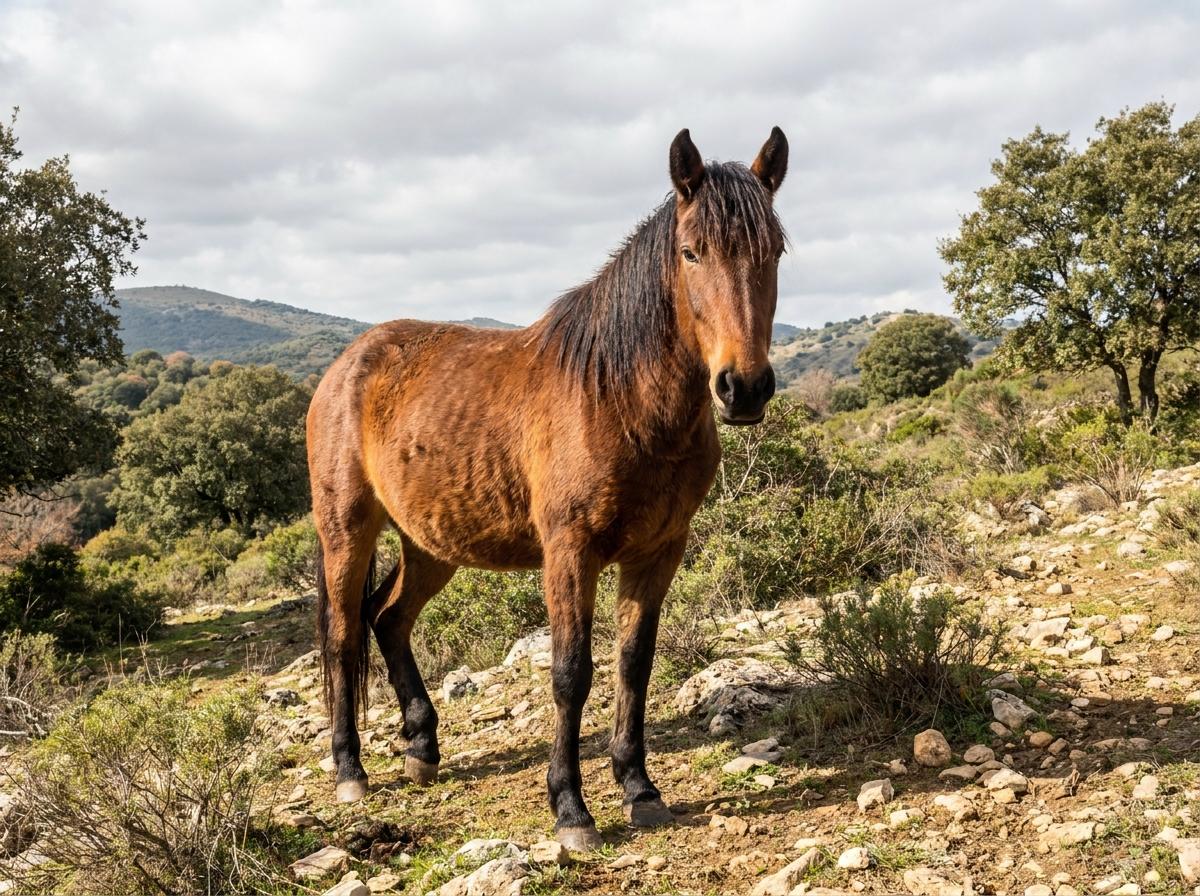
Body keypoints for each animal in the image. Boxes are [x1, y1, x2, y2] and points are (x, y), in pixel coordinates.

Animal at [307, 126, 788, 850]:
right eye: (691, 252)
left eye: (775, 251)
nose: (744, 388)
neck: (619, 397)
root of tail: (344, 367)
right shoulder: (570, 552)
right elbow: (571, 673)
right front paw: (571, 808)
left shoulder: (659, 553)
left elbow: (634, 665)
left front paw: (639, 787)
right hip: (348, 530)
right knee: (341, 636)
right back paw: (349, 770)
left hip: (432, 544)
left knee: (388, 618)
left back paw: (422, 748)